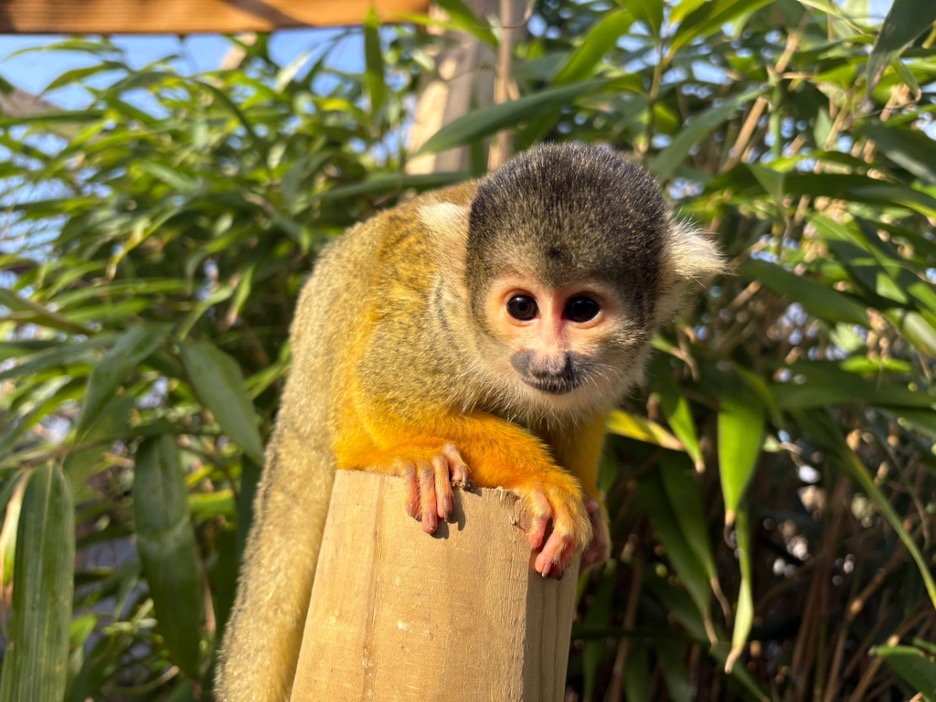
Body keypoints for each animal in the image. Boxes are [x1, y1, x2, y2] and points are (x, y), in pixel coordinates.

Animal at [218, 144, 724, 702]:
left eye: (582, 308)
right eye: (522, 306)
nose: (549, 363)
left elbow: (582, 414)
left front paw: (590, 500)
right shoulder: (445, 324)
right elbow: (385, 387)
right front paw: (542, 479)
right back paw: (386, 457)